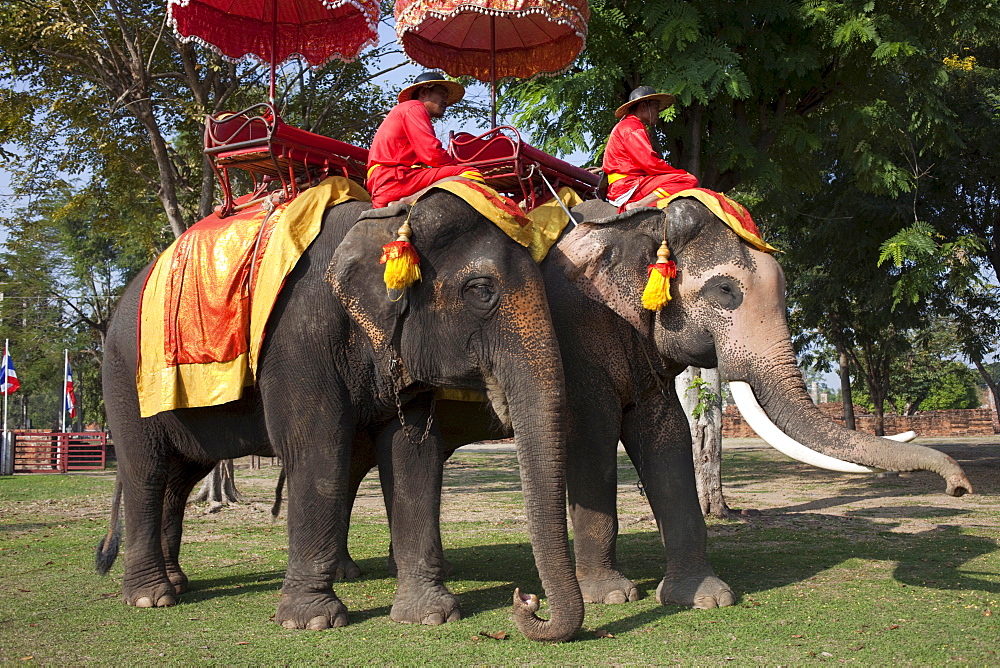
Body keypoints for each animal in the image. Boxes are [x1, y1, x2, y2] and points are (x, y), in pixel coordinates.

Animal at [94, 192, 584, 640]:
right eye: (481, 290)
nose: (527, 599)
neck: (385, 217)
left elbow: (413, 453)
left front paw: (429, 616)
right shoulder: (296, 339)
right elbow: (317, 447)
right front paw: (311, 621)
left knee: (180, 475)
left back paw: (177, 583)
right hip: (124, 377)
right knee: (146, 469)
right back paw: (150, 597)